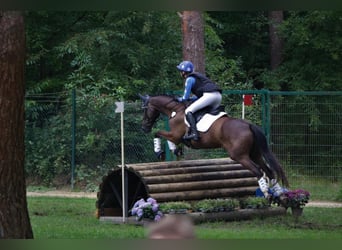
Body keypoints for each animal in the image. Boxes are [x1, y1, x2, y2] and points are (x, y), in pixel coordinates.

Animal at [139, 94, 288, 197]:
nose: (144, 127)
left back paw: (266, 193)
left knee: (258, 171)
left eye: (145, 110)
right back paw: (278, 193)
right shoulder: (175, 136)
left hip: (239, 156)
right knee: (269, 171)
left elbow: (158, 133)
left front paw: (160, 152)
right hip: (255, 154)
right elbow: (166, 138)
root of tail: (249, 125)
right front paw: (175, 150)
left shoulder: (175, 135)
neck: (176, 110)